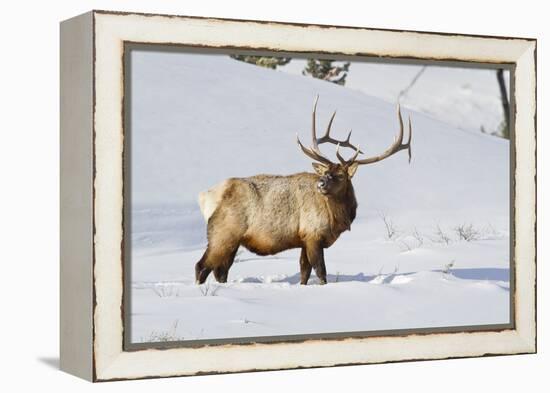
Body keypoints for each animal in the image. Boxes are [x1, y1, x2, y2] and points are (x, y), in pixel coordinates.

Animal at [196, 95, 412, 284]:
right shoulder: (313, 235)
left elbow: (304, 272)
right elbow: (320, 271)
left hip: (230, 239)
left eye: (341, 175)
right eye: (326, 172)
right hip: (223, 232)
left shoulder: (304, 239)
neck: (338, 218)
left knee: (220, 270)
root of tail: (205, 197)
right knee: (202, 266)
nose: (321, 184)